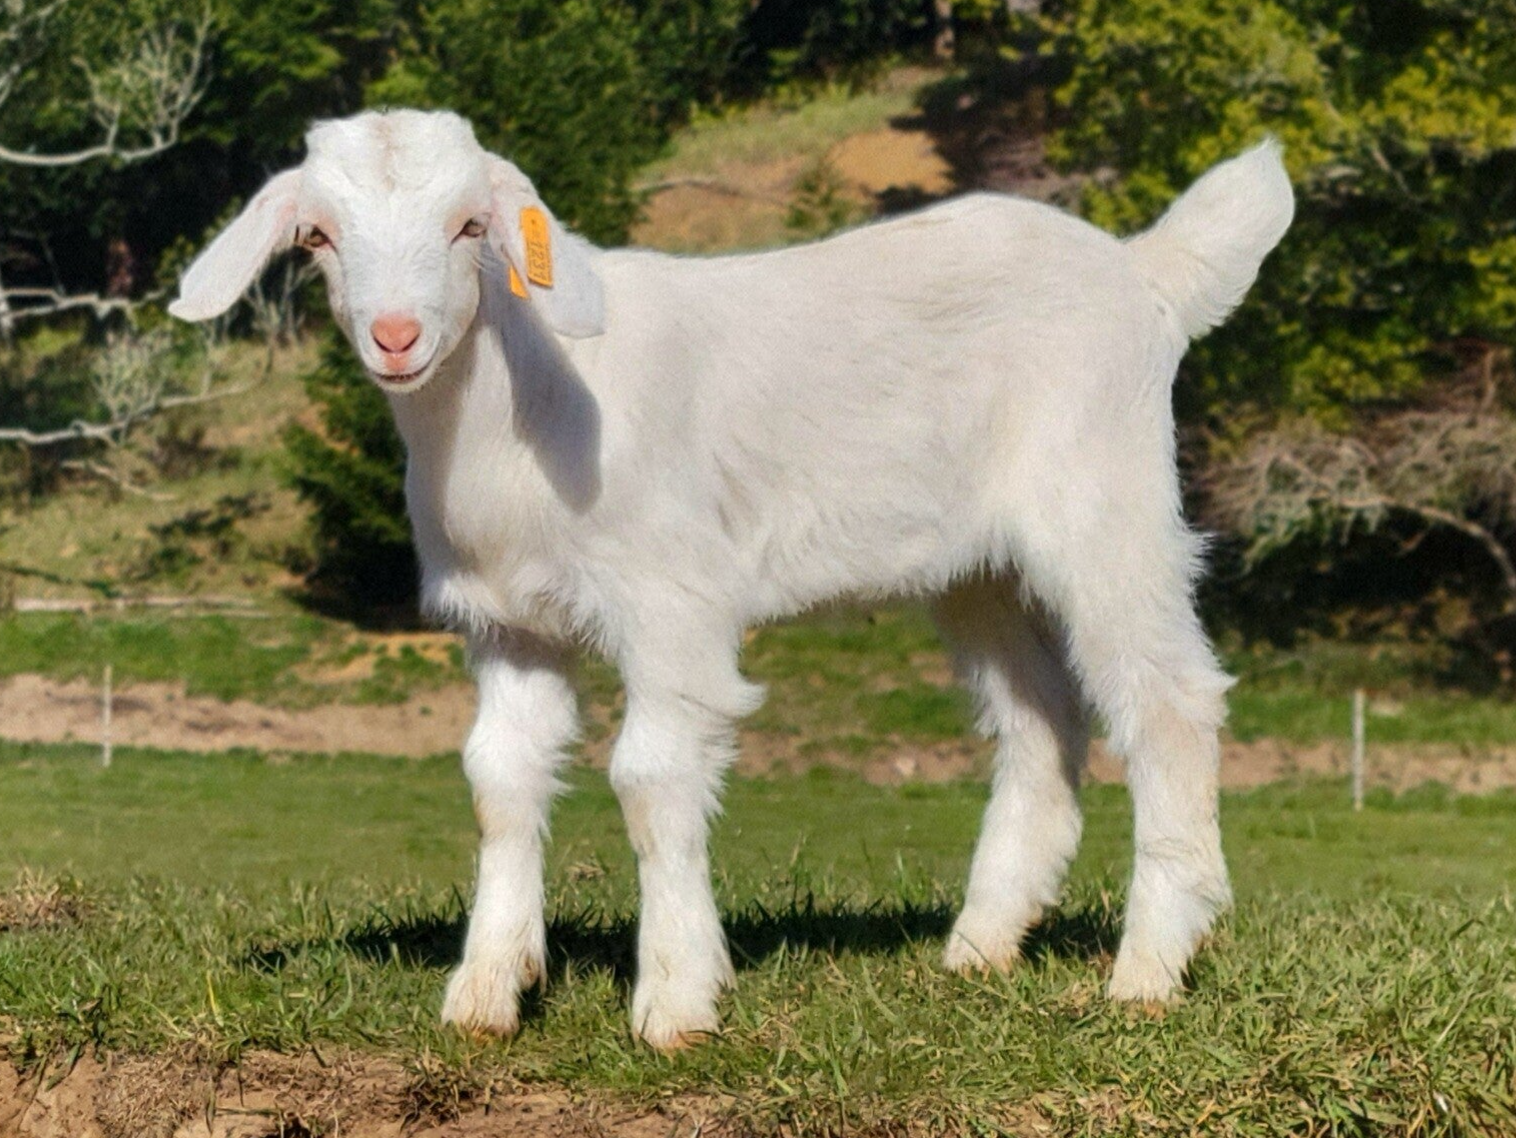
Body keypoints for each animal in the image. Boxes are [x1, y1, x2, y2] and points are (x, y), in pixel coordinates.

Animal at [169, 109, 1294, 1050]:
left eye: (469, 225)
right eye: (317, 236)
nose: (395, 336)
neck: (517, 412)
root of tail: (1143, 273)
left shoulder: (671, 602)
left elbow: (649, 778)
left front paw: (675, 1000)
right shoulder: (509, 625)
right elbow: (498, 779)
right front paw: (487, 991)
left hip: (1104, 502)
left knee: (1167, 702)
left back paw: (1148, 968)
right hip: (978, 565)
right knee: (1039, 722)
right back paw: (980, 945)